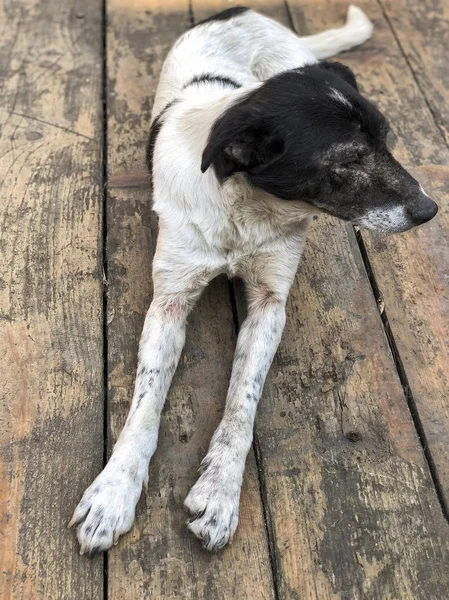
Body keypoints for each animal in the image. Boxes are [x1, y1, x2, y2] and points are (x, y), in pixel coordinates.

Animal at [71, 5, 438, 556]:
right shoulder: (170, 299)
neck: (245, 209)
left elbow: (242, 400)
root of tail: (245, 13)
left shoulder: (270, 302)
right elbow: (144, 403)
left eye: (387, 139)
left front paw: (220, 491)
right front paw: (114, 492)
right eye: (349, 158)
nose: (429, 210)